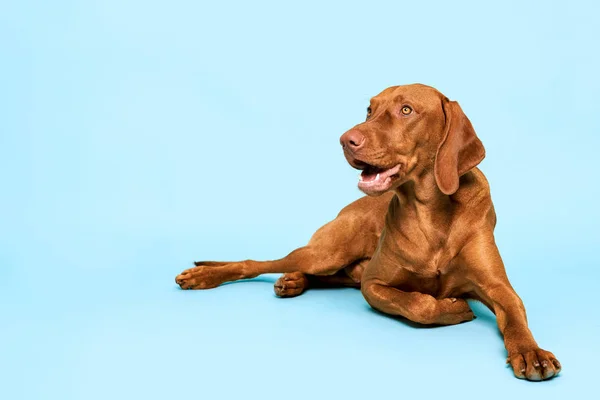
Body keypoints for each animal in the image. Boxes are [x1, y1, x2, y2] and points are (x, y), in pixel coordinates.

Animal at [176, 83, 560, 382]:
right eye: (369, 109)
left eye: (406, 110)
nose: (346, 140)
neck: (431, 213)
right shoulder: (374, 284)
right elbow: (416, 304)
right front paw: (450, 309)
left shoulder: (498, 287)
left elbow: (515, 317)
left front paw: (531, 352)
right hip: (326, 252)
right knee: (255, 263)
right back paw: (205, 276)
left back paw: (293, 281)